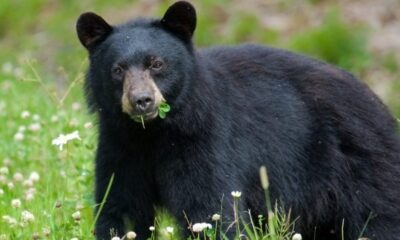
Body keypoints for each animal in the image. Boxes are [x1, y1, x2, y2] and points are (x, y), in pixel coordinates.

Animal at [76, 1, 400, 240]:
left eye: (157, 64)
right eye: (117, 70)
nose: (142, 100)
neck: (154, 133)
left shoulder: (206, 140)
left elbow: (211, 209)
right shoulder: (120, 145)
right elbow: (121, 208)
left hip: (363, 169)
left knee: (380, 219)